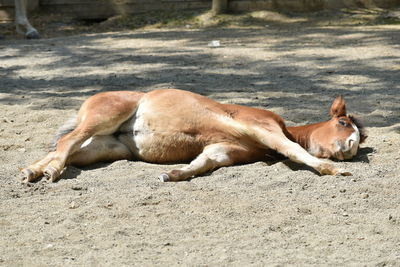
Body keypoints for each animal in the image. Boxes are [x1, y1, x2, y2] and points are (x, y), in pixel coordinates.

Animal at [21, 89, 366, 183]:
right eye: (343, 122)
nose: (350, 147)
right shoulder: (262, 127)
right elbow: (294, 150)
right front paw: (332, 169)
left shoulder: (223, 150)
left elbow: (202, 163)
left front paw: (173, 174)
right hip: (104, 118)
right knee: (66, 143)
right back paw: (48, 172)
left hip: (106, 147)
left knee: (65, 149)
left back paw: (32, 171)